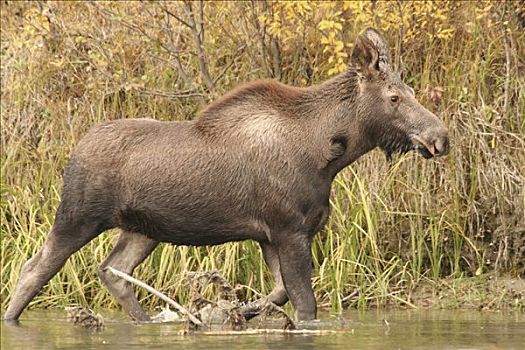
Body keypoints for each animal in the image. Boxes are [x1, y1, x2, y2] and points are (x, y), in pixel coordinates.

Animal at [4, 28, 446, 322]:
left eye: (410, 91)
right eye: (394, 97)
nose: (439, 137)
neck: (328, 156)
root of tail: (74, 150)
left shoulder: (270, 236)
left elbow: (280, 293)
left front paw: (236, 312)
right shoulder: (288, 229)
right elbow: (306, 304)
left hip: (142, 230)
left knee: (113, 271)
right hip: (78, 216)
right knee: (33, 268)